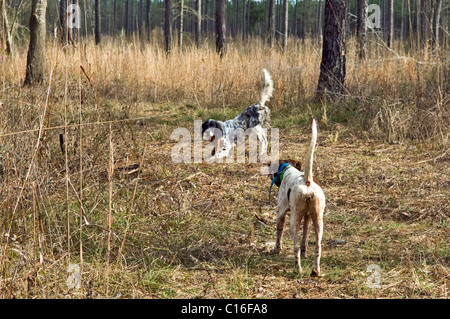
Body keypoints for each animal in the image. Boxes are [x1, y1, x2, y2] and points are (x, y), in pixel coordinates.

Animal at [268, 120, 326, 278]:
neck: (289, 170)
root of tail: (307, 181)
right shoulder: (308, 217)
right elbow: (304, 240)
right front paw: (305, 252)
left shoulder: (281, 213)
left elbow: (279, 234)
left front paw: (276, 249)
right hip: (318, 221)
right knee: (318, 247)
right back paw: (315, 270)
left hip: (293, 222)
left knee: (295, 248)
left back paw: (297, 268)